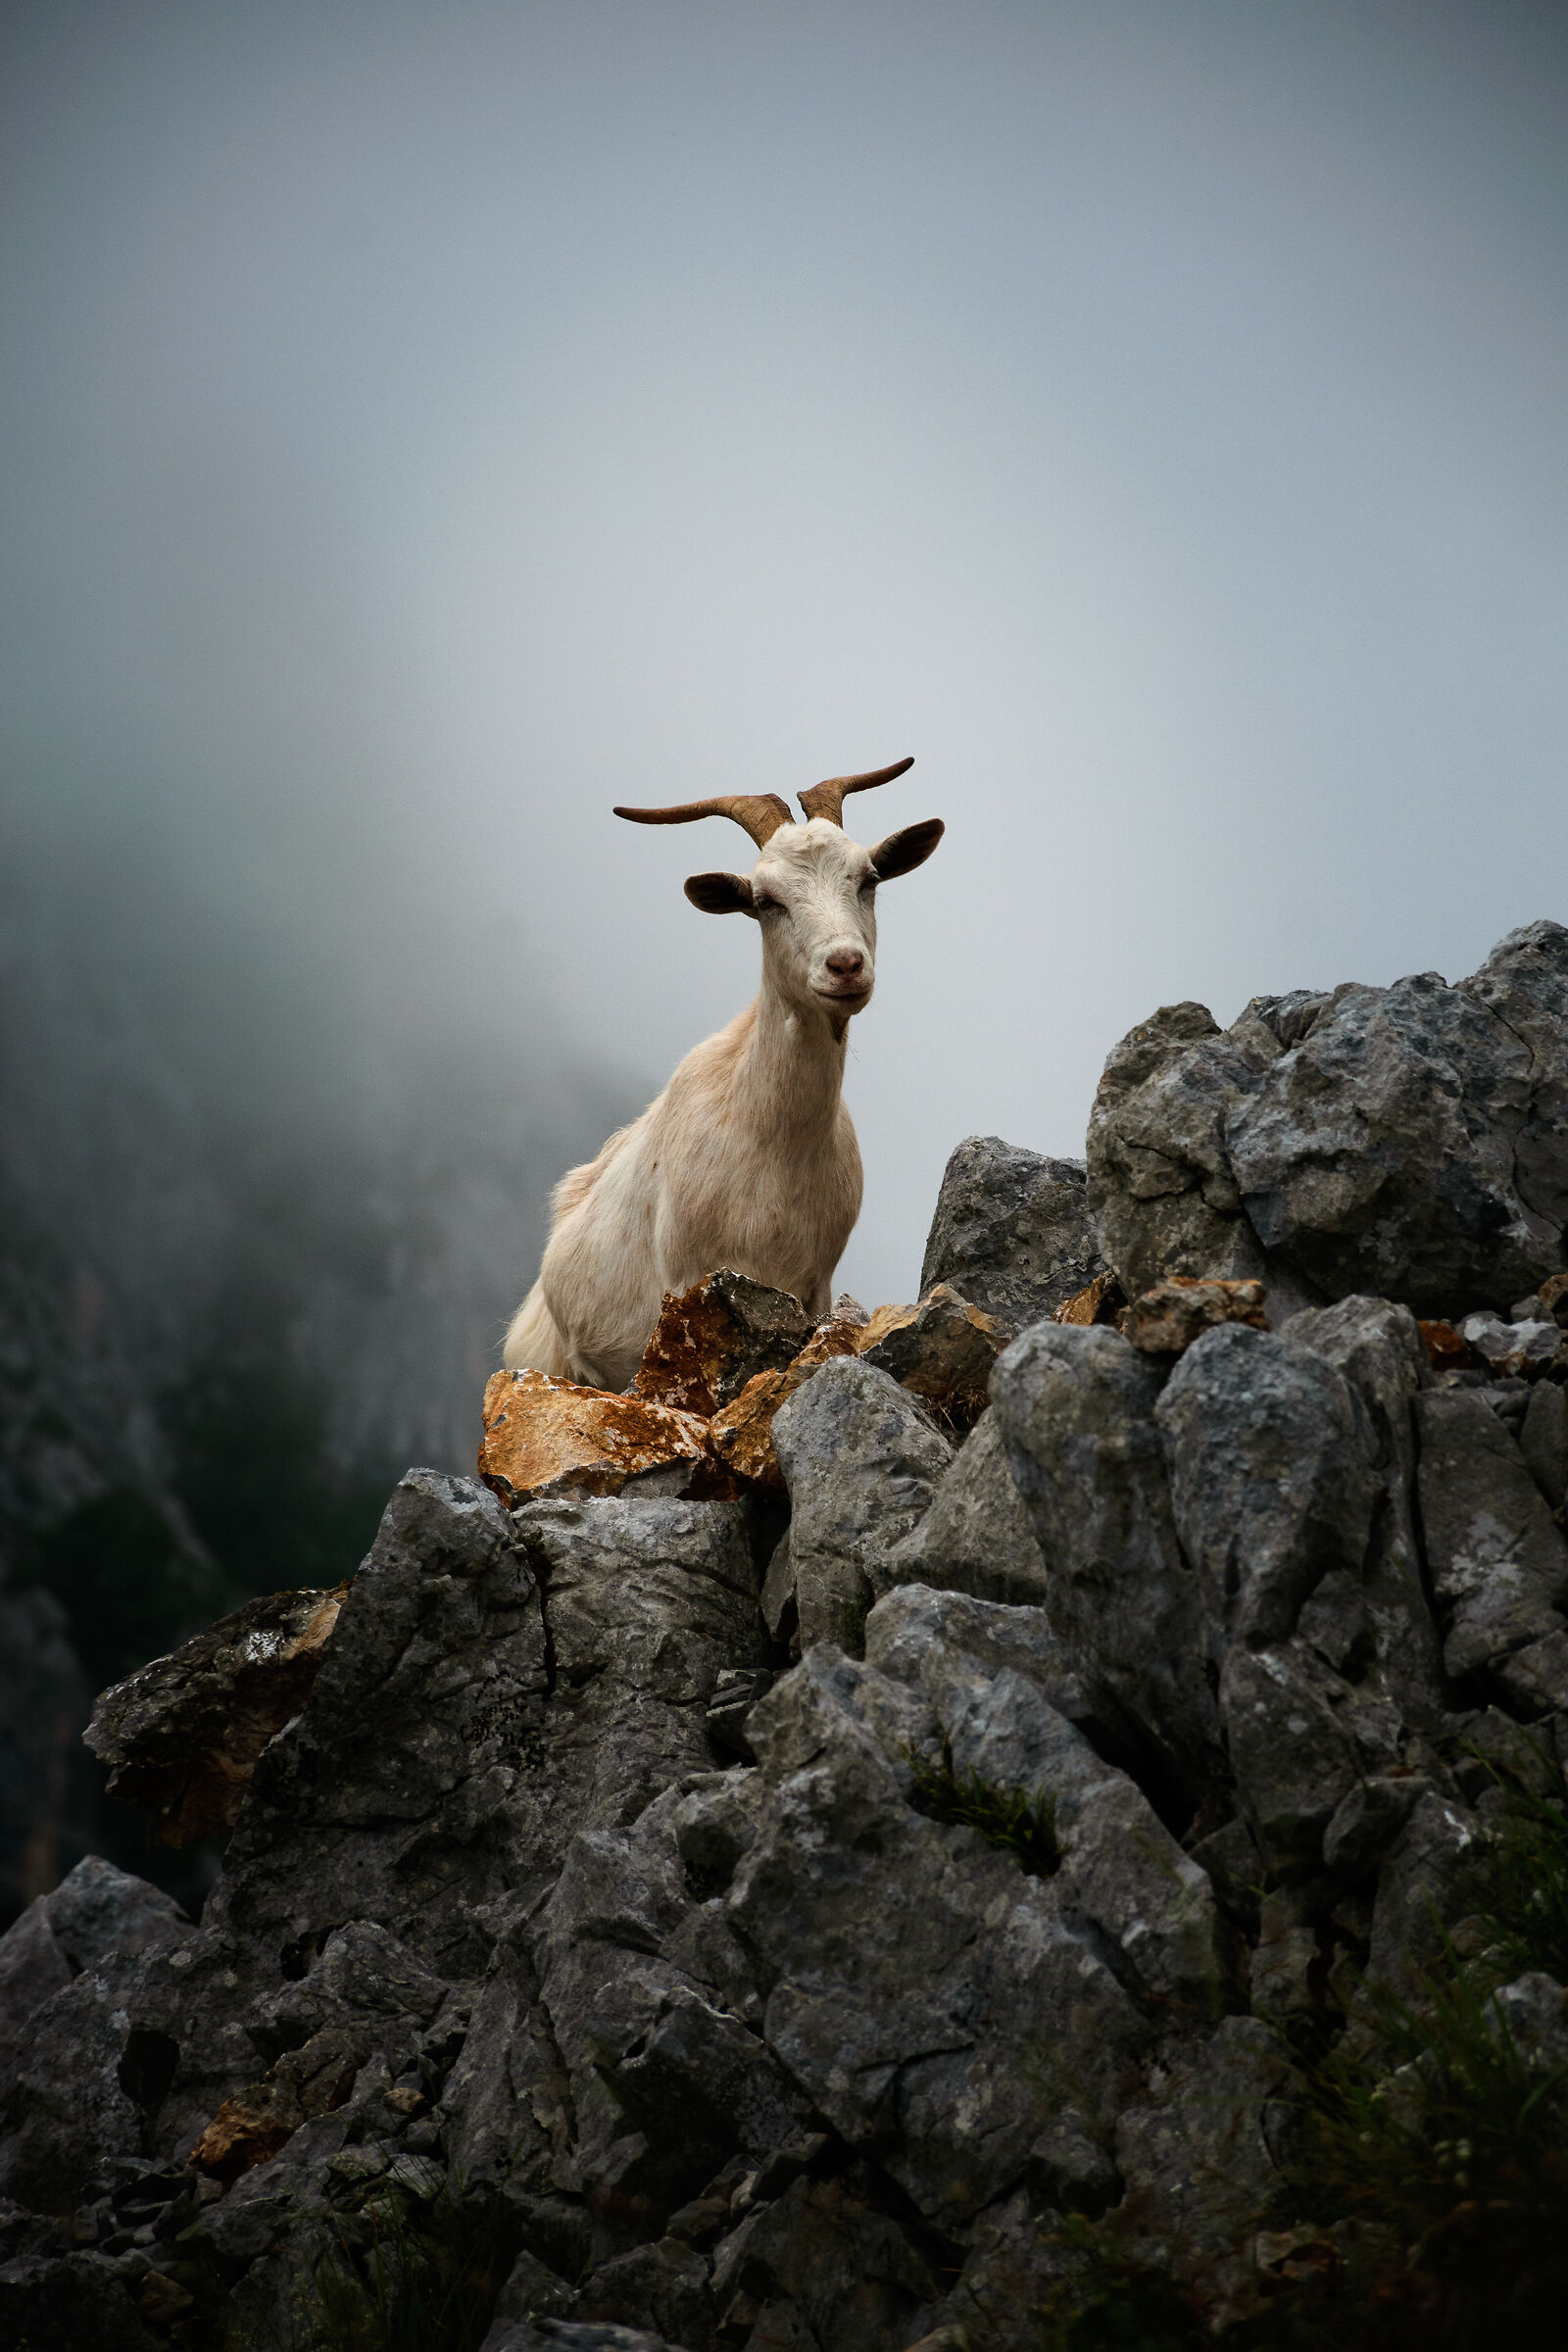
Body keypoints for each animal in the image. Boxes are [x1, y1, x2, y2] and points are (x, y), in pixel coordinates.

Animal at [503, 758, 943, 1390]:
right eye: (765, 900)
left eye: (869, 878)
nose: (845, 965)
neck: (771, 1144)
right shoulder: (689, 1281)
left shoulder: (815, 1287)